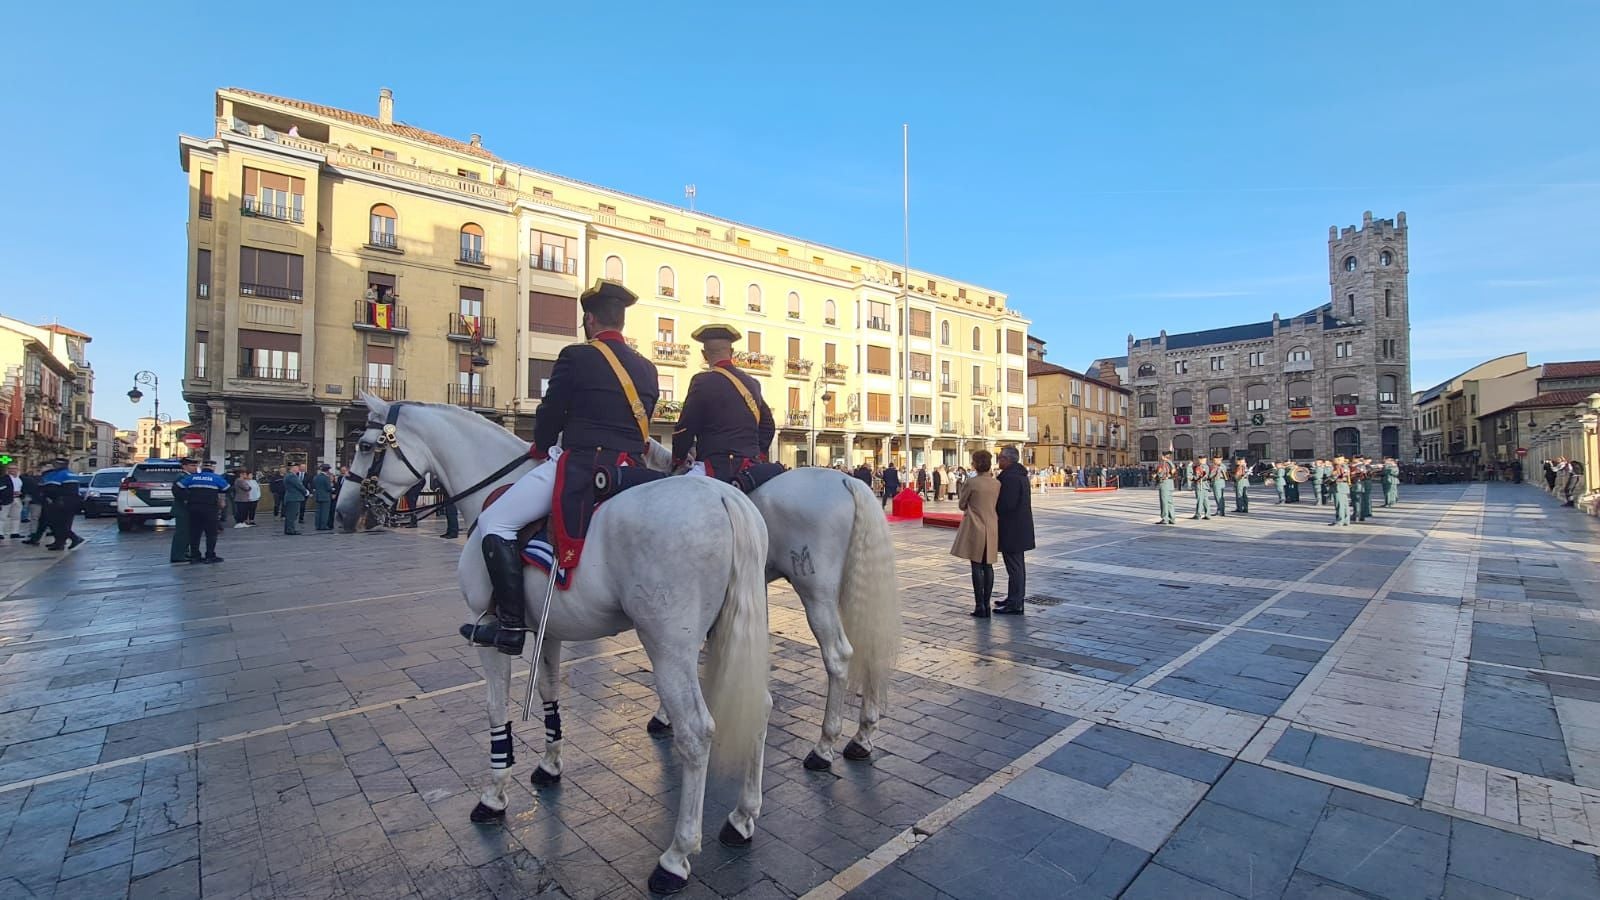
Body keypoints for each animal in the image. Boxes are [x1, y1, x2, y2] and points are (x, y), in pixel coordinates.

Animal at [334, 398, 771, 890]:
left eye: (365, 445)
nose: (345, 512)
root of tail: (723, 496)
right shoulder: (551, 629)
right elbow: (548, 691)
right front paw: (549, 764)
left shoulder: (489, 633)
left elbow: (495, 707)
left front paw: (494, 795)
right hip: (729, 632)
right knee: (759, 707)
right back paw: (741, 818)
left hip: (668, 647)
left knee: (696, 731)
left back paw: (676, 858)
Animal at [643, 438, 908, 768]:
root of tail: (849, 481)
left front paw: (664, 715)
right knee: (870, 640)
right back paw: (862, 738)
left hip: (816, 593)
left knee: (838, 656)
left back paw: (823, 747)